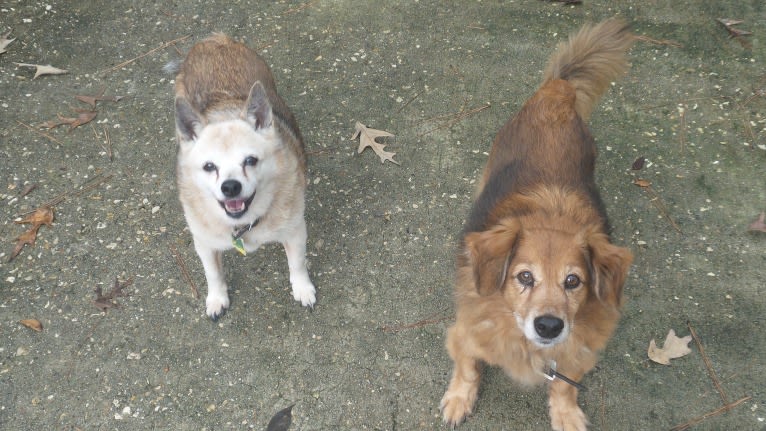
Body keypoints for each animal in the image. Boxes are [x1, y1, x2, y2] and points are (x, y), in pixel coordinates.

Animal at [440, 18, 640, 430]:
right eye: (524, 277)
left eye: (573, 281)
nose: (549, 326)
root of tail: (557, 92)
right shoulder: (464, 333)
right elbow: (467, 368)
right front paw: (459, 398)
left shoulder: (576, 352)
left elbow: (563, 385)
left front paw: (565, 413)